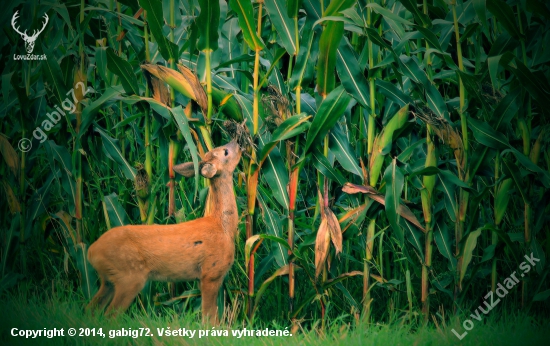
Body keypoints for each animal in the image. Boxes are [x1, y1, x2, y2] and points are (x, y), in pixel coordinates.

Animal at [86, 139, 242, 324]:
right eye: (225, 152)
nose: (237, 142)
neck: (222, 226)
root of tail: (91, 251)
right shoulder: (211, 272)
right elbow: (209, 318)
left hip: (108, 280)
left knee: (90, 310)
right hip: (129, 277)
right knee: (110, 315)